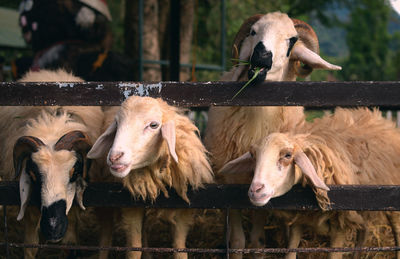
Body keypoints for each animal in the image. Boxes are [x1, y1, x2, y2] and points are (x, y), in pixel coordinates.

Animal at [86, 96, 212, 259]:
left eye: (153, 125)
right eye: (117, 124)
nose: (114, 157)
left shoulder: (184, 209)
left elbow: (179, 248)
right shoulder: (130, 207)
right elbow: (134, 248)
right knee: (106, 233)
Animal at [205, 10, 342, 258]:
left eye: (292, 40)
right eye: (253, 31)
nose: (261, 55)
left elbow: (257, 239)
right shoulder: (230, 182)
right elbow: (238, 240)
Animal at [220, 107, 400, 259]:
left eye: (287, 155)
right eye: (253, 155)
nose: (255, 190)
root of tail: (381, 120)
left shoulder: (340, 223)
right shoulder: (300, 218)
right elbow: (290, 252)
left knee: (396, 228)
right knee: (364, 229)